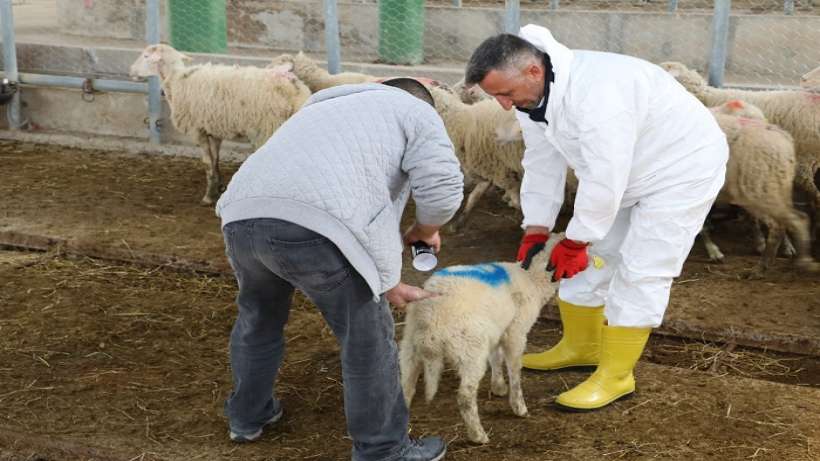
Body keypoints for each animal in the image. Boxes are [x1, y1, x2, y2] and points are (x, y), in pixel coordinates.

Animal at [130, 44, 312, 204]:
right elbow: (215, 160)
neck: (176, 80)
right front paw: (218, 188)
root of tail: (294, 90)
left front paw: (208, 197)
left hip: (268, 129)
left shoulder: (198, 130)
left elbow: (207, 163)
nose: (131, 70)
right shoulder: (214, 129)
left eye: (145, 56)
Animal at [398, 234, 564, 442]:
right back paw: (478, 435)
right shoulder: (515, 332)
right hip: (471, 350)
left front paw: (498, 386)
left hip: (409, 348)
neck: (532, 278)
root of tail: (430, 317)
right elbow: (515, 370)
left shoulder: (497, 329)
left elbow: (496, 357)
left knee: (405, 388)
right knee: (465, 396)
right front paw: (519, 407)